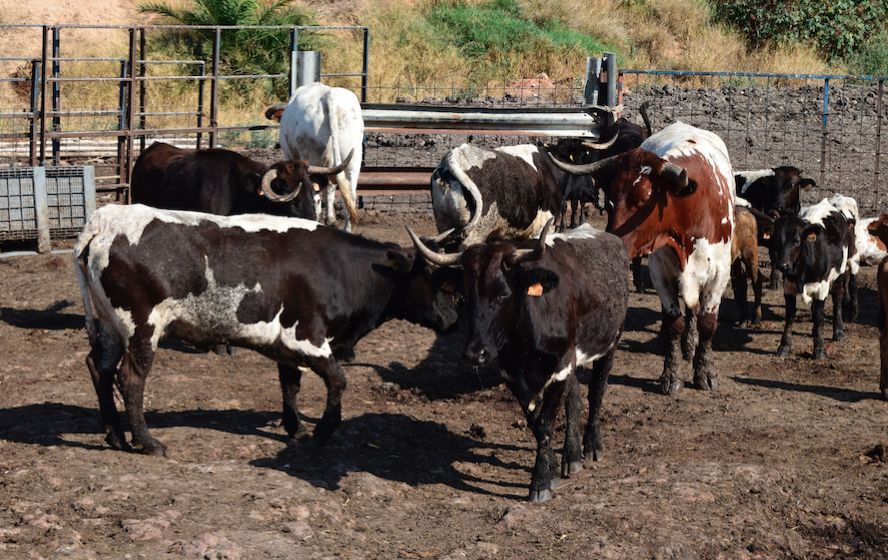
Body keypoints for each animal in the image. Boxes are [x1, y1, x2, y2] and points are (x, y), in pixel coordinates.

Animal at [73, 205, 462, 456]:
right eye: (435, 279)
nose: (453, 320)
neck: (339, 268)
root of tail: (104, 221)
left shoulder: (287, 345)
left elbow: (290, 385)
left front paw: (296, 428)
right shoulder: (308, 337)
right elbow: (338, 381)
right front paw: (322, 431)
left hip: (110, 326)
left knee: (100, 369)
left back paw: (115, 435)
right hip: (142, 328)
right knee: (130, 379)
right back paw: (148, 442)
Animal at [406, 219, 628, 504]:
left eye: (503, 294)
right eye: (464, 296)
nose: (475, 353)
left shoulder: (561, 364)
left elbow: (545, 422)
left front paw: (540, 482)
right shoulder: (512, 372)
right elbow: (536, 421)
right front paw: (551, 468)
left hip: (611, 341)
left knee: (597, 391)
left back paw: (591, 446)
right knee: (575, 396)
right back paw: (572, 455)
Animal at [548, 120, 736, 396]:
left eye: (645, 198)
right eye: (610, 199)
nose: (612, 243)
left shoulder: (720, 273)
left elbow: (707, 323)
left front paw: (705, 372)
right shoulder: (661, 272)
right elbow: (674, 323)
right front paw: (671, 375)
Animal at [772, 198, 856, 358]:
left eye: (797, 241)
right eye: (777, 240)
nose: (782, 265)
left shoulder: (822, 286)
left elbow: (819, 316)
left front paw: (819, 349)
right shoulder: (788, 285)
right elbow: (790, 315)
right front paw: (784, 346)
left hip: (840, 273)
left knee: (838, 299)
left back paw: (838, 331)